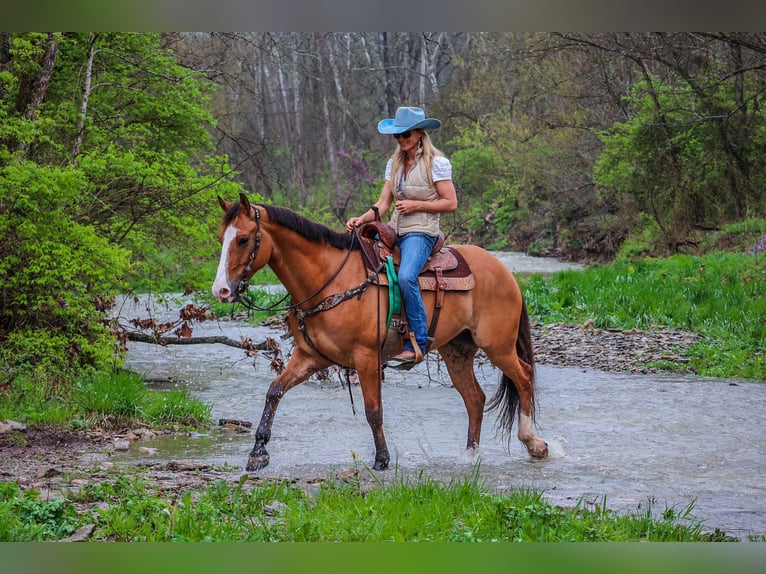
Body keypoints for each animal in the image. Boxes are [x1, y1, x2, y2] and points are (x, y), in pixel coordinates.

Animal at [212, 194, 544, 472]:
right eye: (220, 238)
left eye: (243, 239)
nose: (221, 290)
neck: (329, 280)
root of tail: (504, 271)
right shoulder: (310, 357)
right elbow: (274, 391)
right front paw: (258, 453)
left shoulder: (366, 357)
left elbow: (373, 410)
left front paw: (382, 459)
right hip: (457, 351)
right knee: (475, 398)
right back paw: (470, 455)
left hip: (497, 346)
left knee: (524, 376)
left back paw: (534, 443)